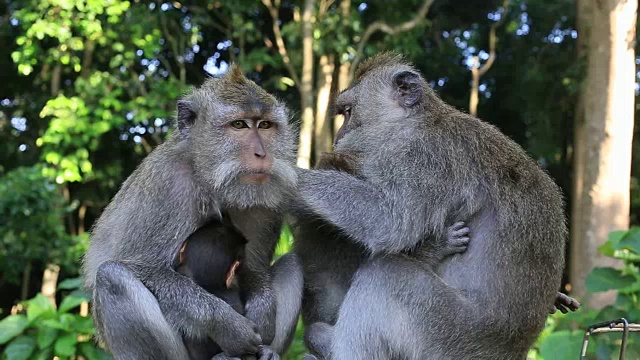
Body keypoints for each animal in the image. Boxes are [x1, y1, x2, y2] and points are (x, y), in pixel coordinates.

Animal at [83, 66, 302, 360]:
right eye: (239, 125)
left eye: (265, 125)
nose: (262, 153)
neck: (208, 176)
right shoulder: (168, 184)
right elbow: (145, 268)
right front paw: (226, 325)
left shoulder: (268, 199)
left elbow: (254, 268)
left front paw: (263, 312)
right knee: (113, 278)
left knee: (294, 264)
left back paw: (268, 352)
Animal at [296, 54, 568, 360]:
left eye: (348, 113)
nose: (337, 138)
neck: (417, 122)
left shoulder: (426, 157)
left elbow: (392, 220)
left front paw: (286, 175)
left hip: (451, 336)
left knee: (385, 275)